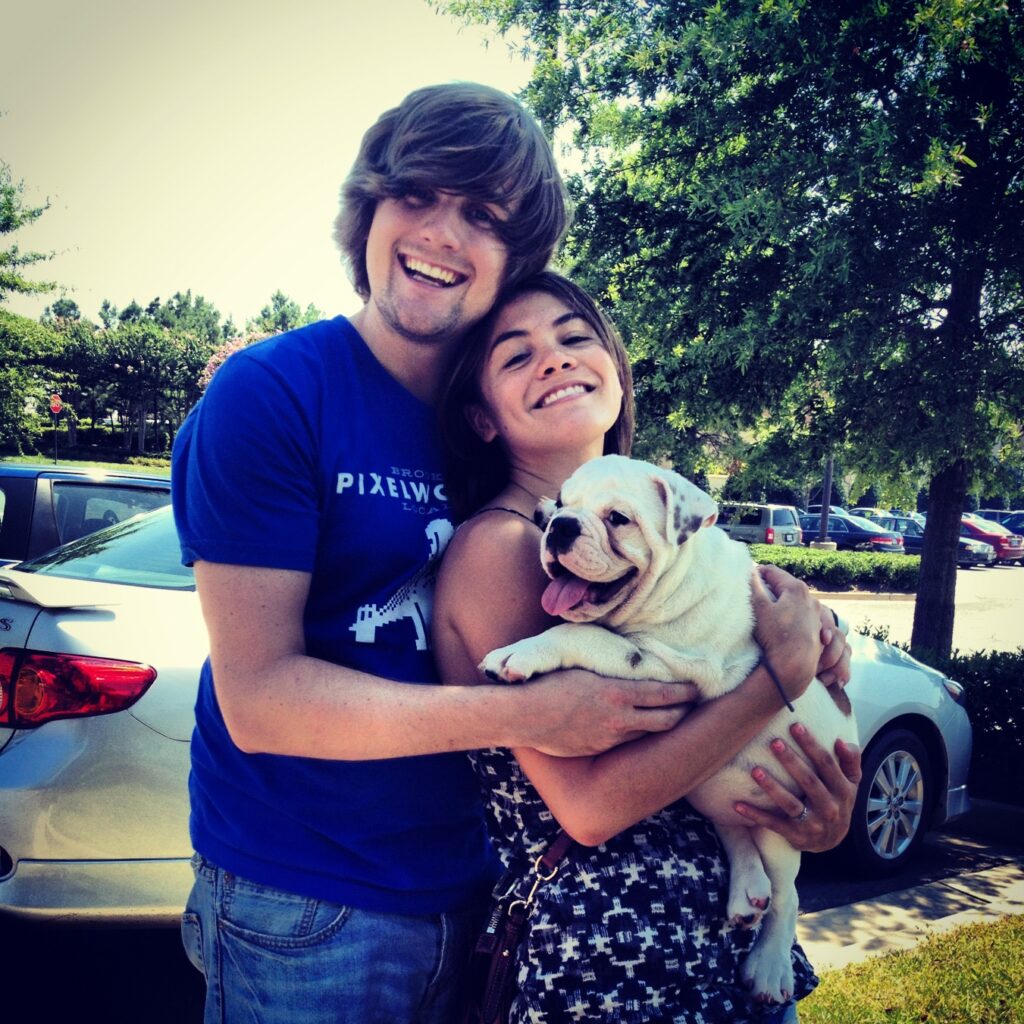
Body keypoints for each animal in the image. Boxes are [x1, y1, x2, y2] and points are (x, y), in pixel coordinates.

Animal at [479, 456, 856, 1007]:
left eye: (618, 519)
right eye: (563, 500)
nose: (558, 523)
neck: (669, 586)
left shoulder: (667, 664)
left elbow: (577, 631)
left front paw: (518, 653)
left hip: (787, 808)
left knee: (787, 893)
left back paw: (769, 966)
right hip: (710, 783)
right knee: (733, 825)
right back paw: (746, 891)